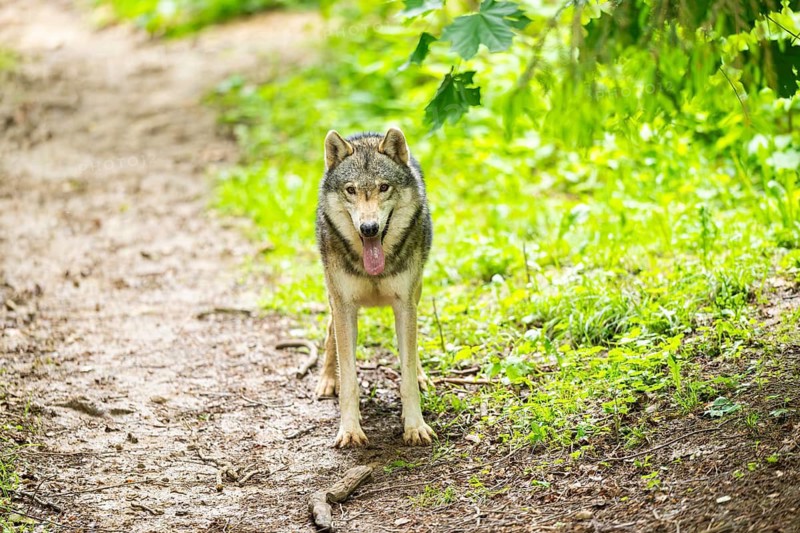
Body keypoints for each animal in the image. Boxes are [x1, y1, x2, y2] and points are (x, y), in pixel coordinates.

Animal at [315, 127, 436, 448]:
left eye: (383, 187)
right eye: (351, 190)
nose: (368, 228)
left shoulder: (404, 304)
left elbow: (407, 373)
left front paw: (415, 426)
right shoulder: (344, 306)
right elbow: (350, 381)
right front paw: (350, 430)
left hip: (415, 294)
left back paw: (422, 375)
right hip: (333, 296)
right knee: (329, 334)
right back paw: (327, 380)